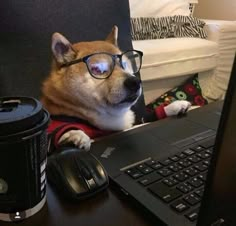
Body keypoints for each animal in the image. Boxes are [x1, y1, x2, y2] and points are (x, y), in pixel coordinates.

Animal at [41, 26, 191, 152]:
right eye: (98, 70)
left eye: (124, 65)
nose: (135, 82)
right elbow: (56, 133)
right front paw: (75, 134)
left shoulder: (135, 120)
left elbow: (149, 116)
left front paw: (175, 106)